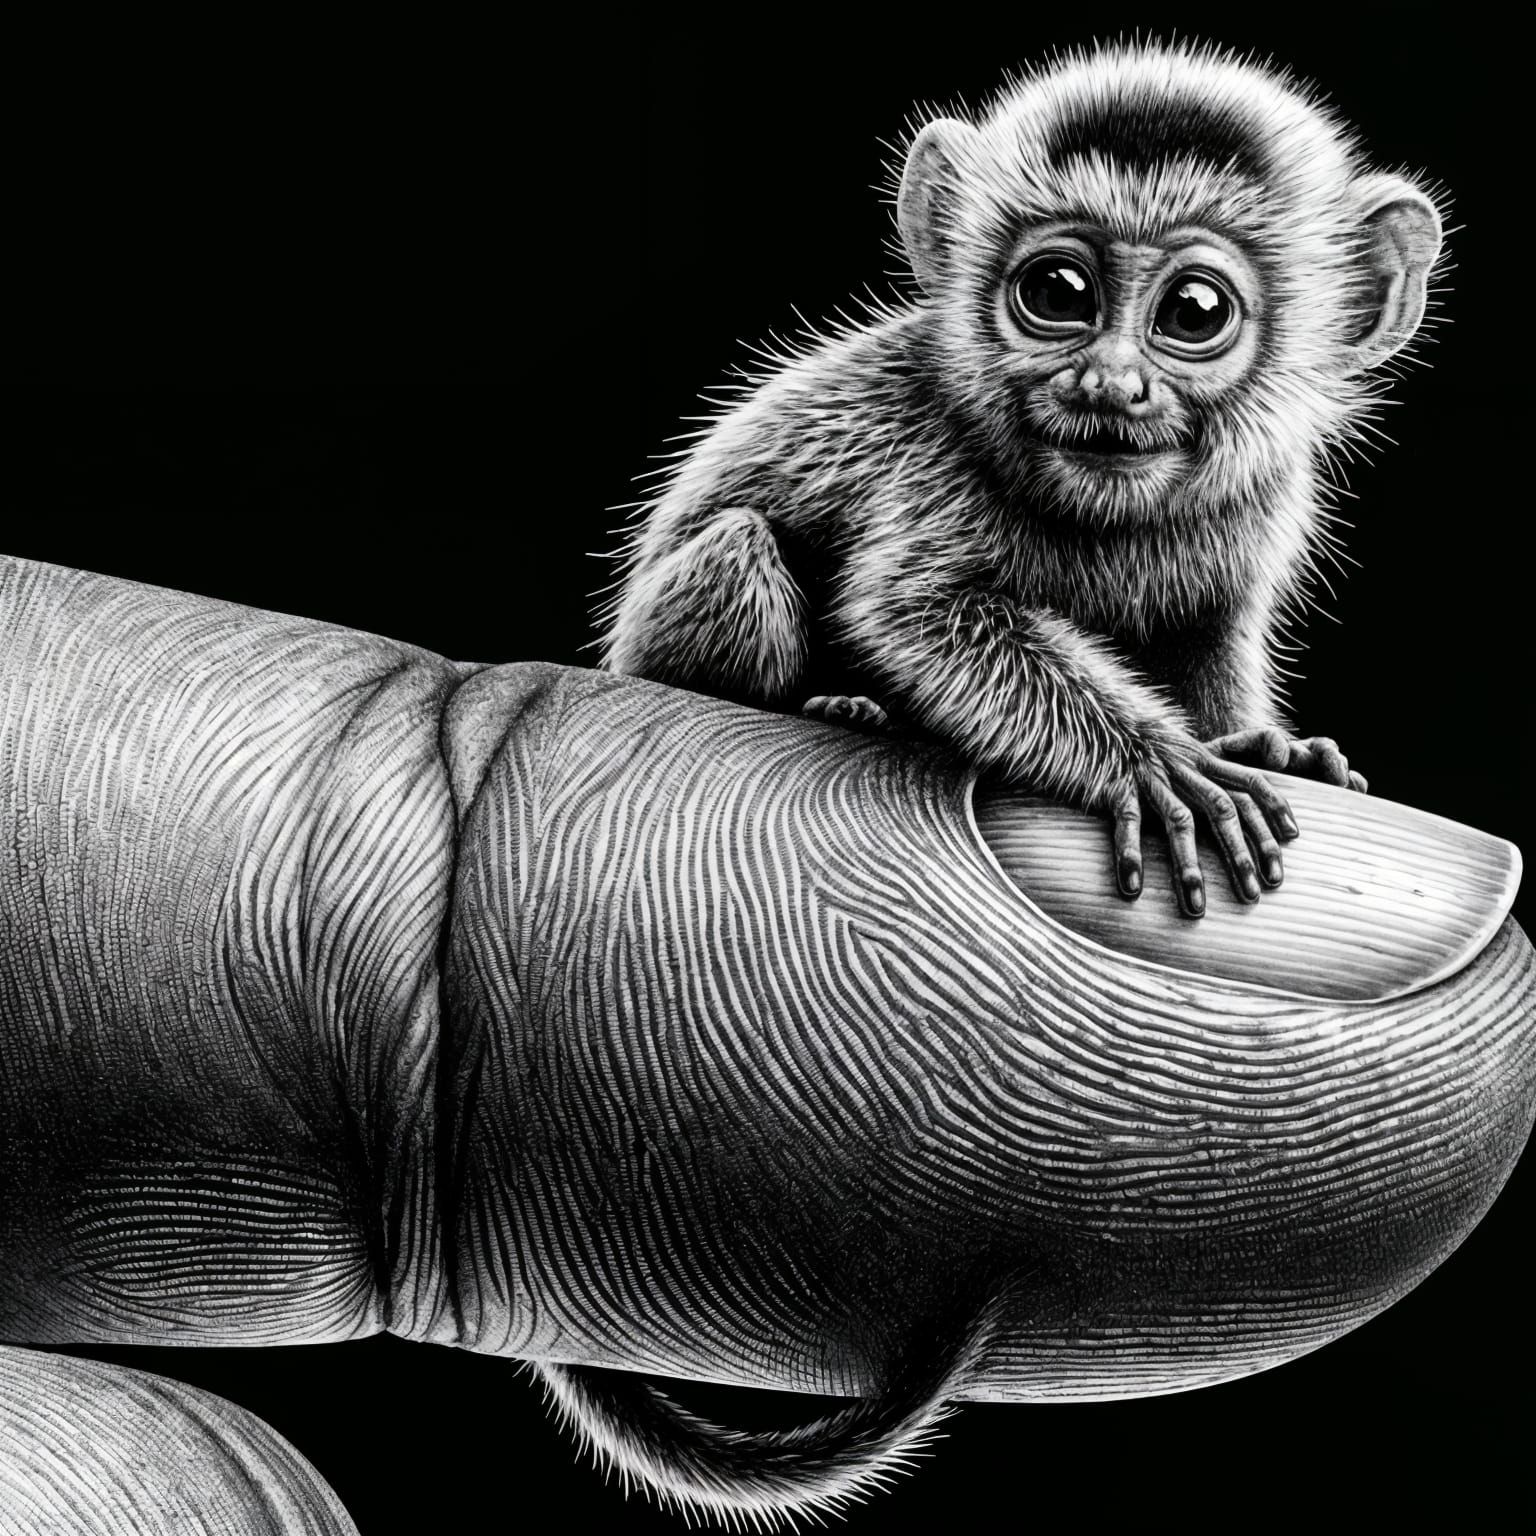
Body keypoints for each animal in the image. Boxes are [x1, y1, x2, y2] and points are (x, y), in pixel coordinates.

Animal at [597, 41, 1445, 917]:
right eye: (1056, 294)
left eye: (1194, 311)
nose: (1108, 386)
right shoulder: (935, 460)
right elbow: (919, 611)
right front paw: (1154, 760)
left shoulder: (1264, 498)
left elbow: (1205, 636)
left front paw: (1268, 747)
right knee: (738, 548)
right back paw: (841, 704)